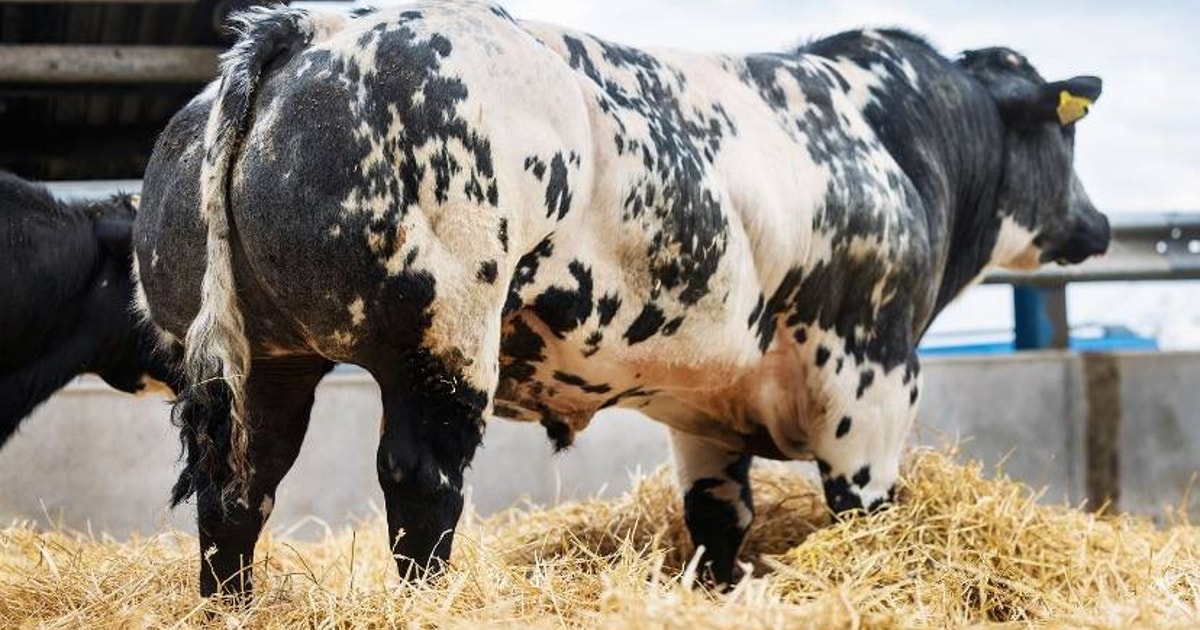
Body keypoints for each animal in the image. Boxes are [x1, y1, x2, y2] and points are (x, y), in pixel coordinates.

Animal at [134, 1, 1109, 598]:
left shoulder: (707, 413)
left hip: (265, 361)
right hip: (439, 343)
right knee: (420, 484)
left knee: (239, 488)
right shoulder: (868, 377)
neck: (892, 143)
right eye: (1066, 141)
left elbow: (718, 522)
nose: (1099, 224)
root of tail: (315, 28)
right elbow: (867, 513)